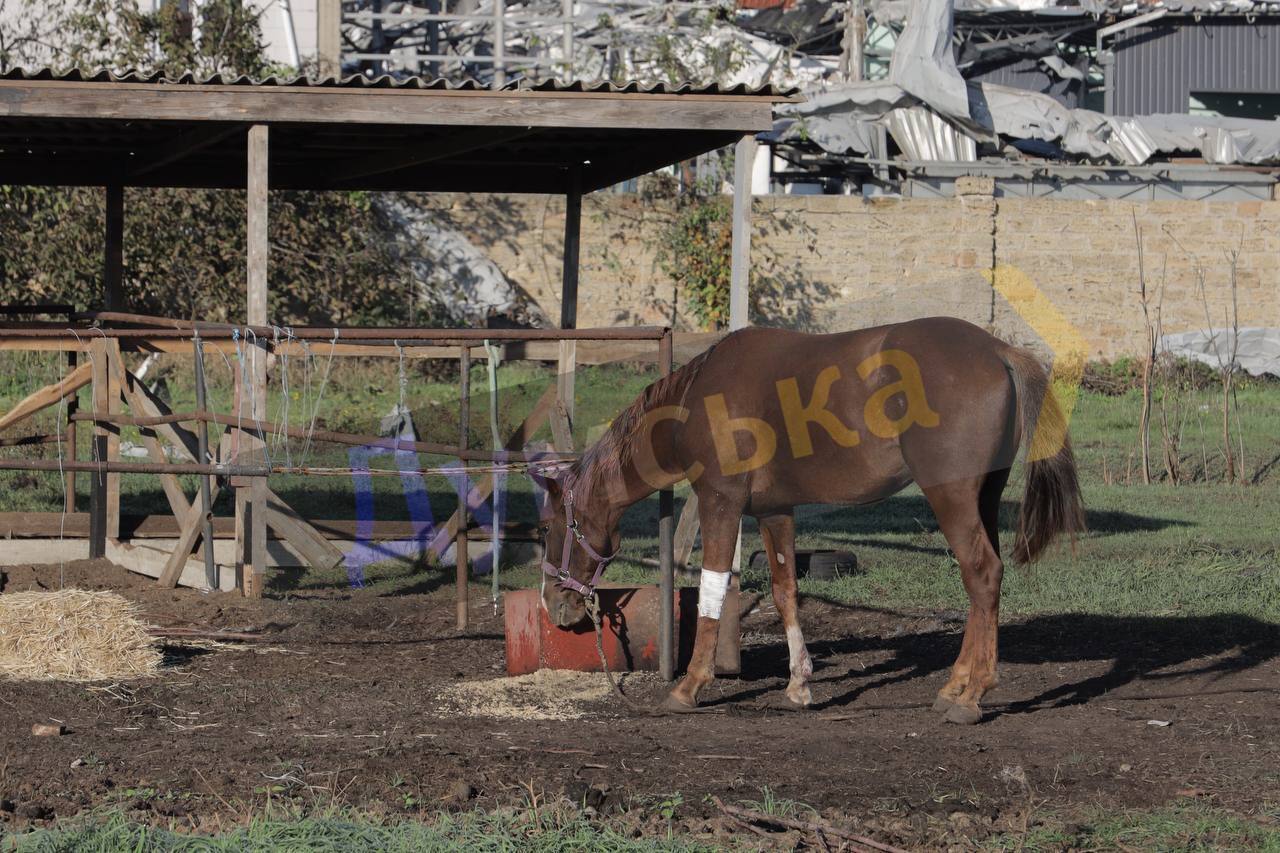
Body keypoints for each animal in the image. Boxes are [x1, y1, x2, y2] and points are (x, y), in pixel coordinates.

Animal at [537, 315, 1080, 722]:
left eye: (549, 527)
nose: (554, 605)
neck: (698, 397)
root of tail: (999, 350)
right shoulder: (774, 510)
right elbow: (785, 591)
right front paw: (798, 684)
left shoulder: (719, 503)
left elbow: (714, 589)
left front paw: (688, 686)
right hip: (982, 498)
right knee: (980, 584)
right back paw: (955, 685)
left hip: (951, 498)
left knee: (982, 574)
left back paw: (973, 696)